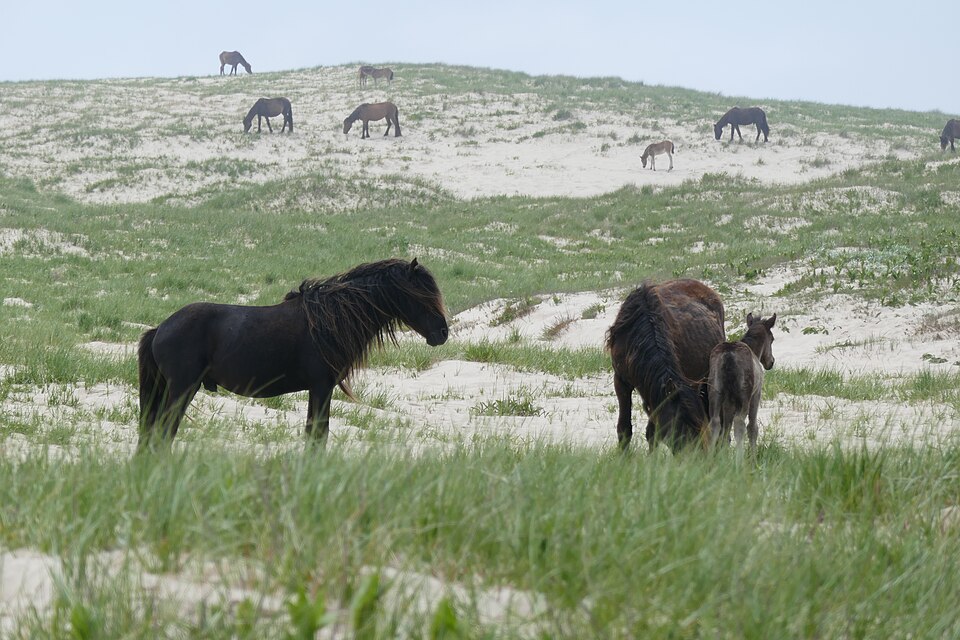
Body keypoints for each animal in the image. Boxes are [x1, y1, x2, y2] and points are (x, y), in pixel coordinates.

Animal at [137, 258, 448, 451]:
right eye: (421, 296)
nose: (442, 334)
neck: (330, 321)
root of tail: (160, 328)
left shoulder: (320, 390)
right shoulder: (322, 387)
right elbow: (317, 435)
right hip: (182, 388)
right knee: (164, 431)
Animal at [707, 313, 777, 452]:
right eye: (772, 339)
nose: (771, 362)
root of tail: (728, 355)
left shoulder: (728, 402)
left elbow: (726, 430)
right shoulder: (757, 394)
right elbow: (753, 427)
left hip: (715, 392)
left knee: (715, 423)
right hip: (744, 395)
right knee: (739, 423)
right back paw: (740, 457)